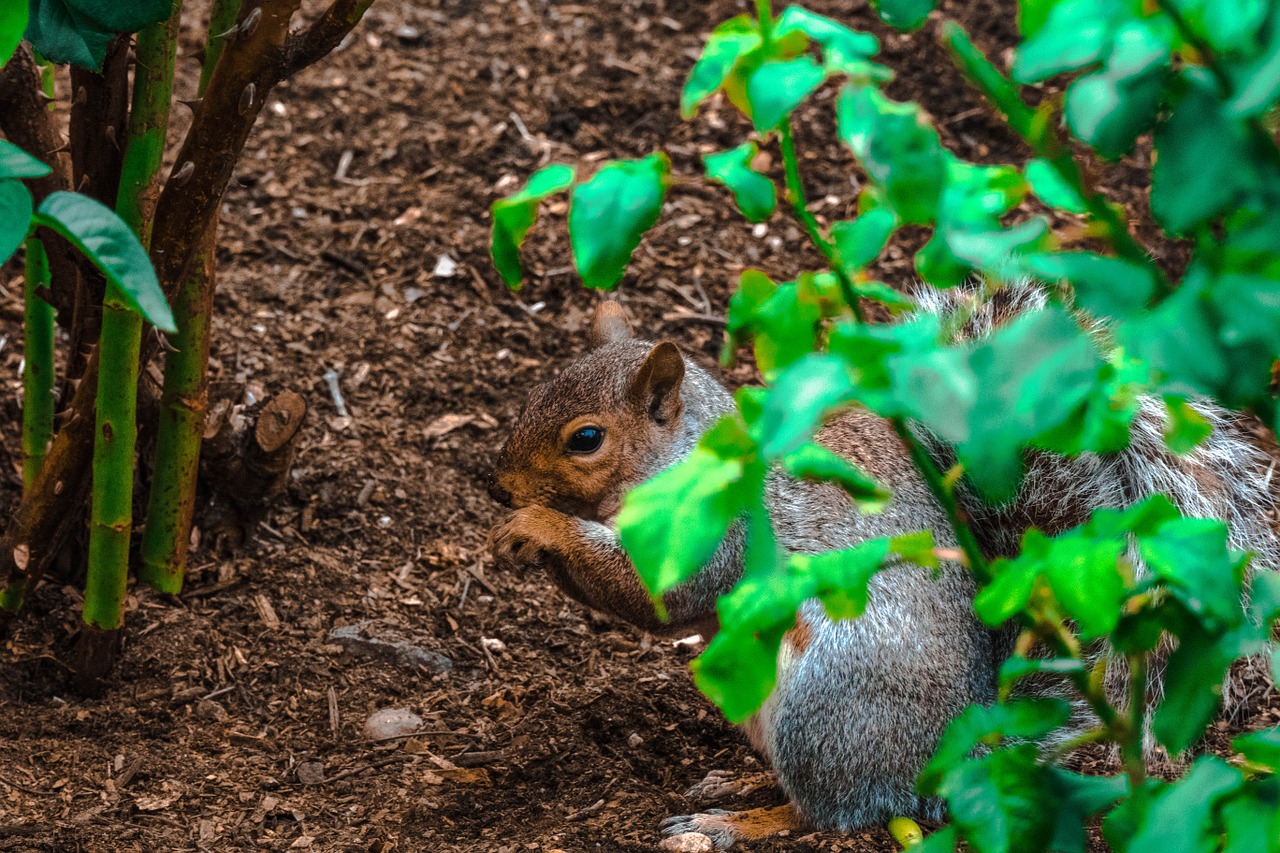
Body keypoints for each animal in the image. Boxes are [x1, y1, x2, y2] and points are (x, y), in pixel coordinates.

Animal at [486, 284, 1280, 845]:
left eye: (586, 438)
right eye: (534, 395)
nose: (499, 487)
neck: (684, 457)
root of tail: (961, 750)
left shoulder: (719, 530)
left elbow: (661, 594)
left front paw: (540, 525)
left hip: (828, 698)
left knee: (835, 811)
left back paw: (738, 823)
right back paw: (736, 787)